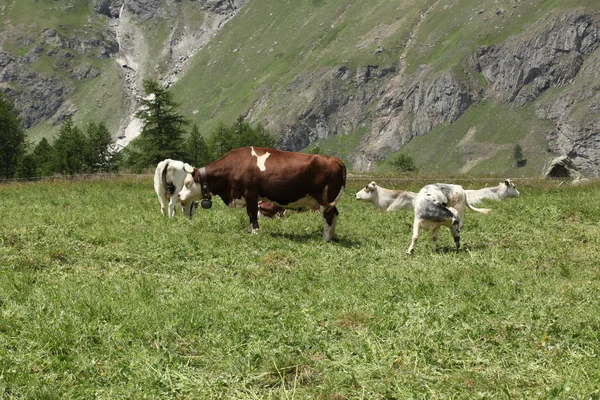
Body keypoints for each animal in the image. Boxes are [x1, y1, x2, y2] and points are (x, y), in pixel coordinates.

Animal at [177, 146, 346, 241]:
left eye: (187, 183)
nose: (178, 196)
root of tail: (333, 159)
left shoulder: (251, 193)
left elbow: (252, 213)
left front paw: (255, 232)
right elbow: (250, 214)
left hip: (324, 199)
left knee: (328, 217)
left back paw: (325, 239)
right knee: (334, 215)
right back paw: (331, 237)